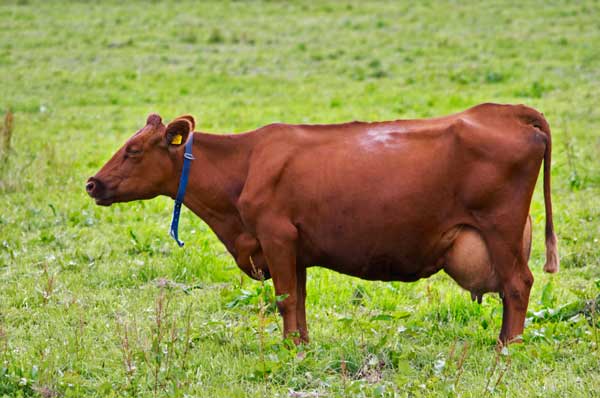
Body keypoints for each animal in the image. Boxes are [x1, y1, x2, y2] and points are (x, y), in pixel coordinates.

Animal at [85, 102, 556, 346]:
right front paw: (302, 344)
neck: (245, 165)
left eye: (132, 150)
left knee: (518, 284)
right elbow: (300, 299)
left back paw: (507, 347)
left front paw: (290, 348)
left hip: (501, 228)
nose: (93, 183)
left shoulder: (275, 236)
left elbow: (285, 300)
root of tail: (505, 111)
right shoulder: (295, 248)